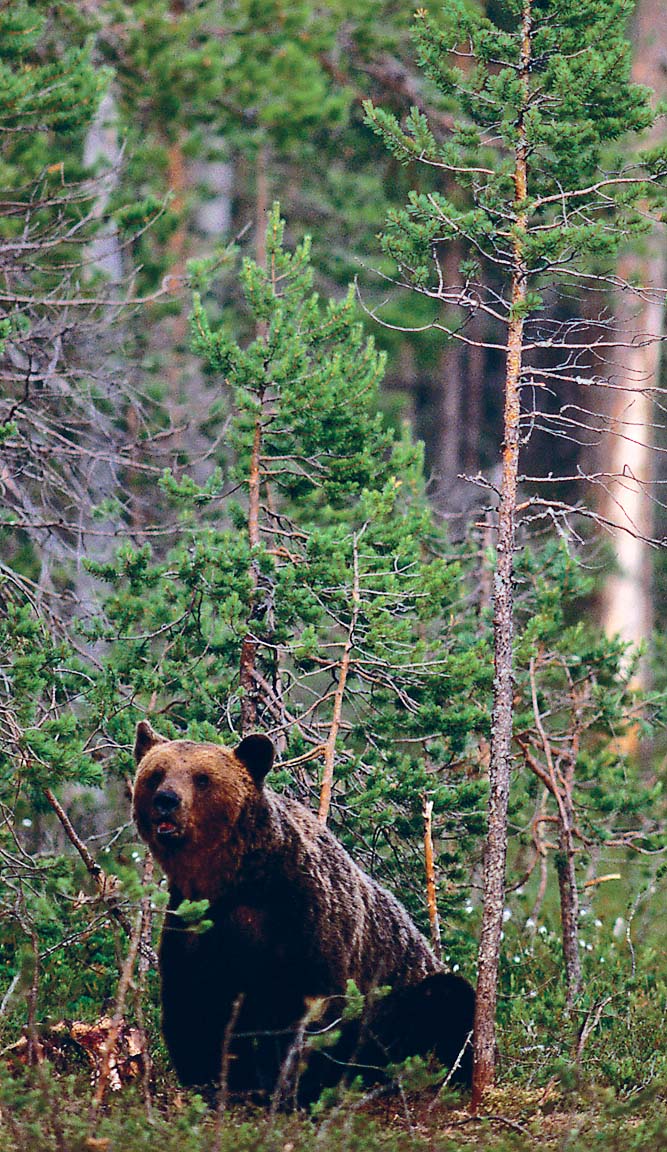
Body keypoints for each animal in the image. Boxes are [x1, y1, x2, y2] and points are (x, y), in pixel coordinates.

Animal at [131, 723, 474, 1101]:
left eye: (202, 778)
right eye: (156, 774)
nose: (166, 800)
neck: (232, 881)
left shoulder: (301, 919)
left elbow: (304, 1011)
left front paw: (287, 1086)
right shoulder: (193, 925)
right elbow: (192, 1004)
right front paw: (208, 1079)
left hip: (408, 996)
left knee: (448, 1000)